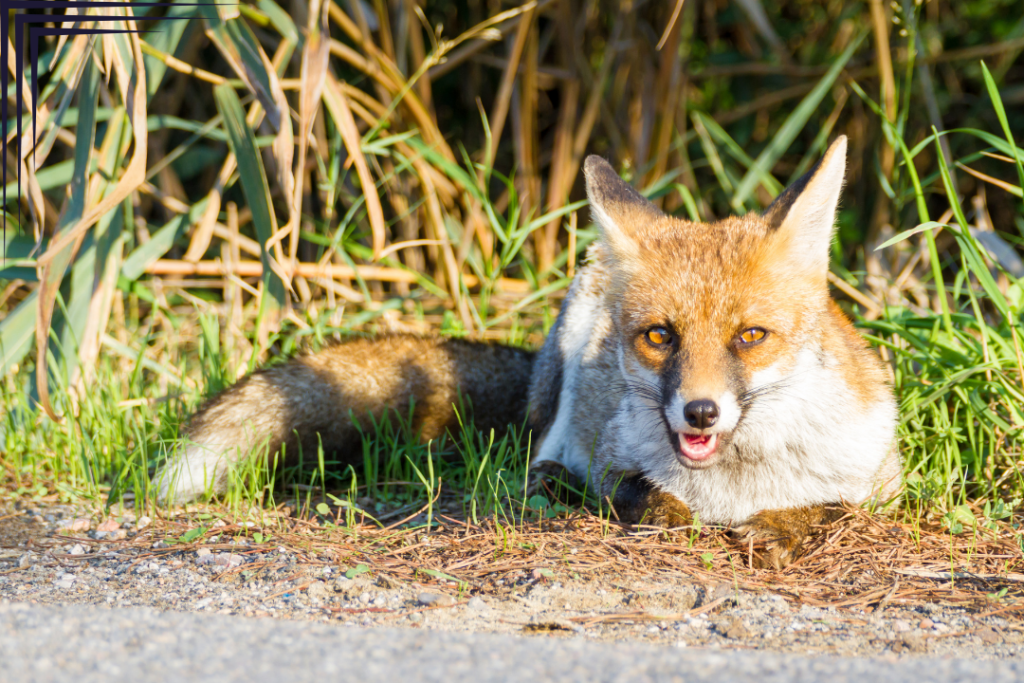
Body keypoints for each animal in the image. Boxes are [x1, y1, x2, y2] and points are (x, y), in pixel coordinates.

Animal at [155, 136, 901, 569]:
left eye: (750, 336)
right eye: (660, 336)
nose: (700, 412)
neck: (733, 485)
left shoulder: (884, 480)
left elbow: (837, 506)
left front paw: (780, 527)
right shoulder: (611, 457)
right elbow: (636, 489)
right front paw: (663, 512)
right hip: (570, 339)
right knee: (537, 457)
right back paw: (555, 483)